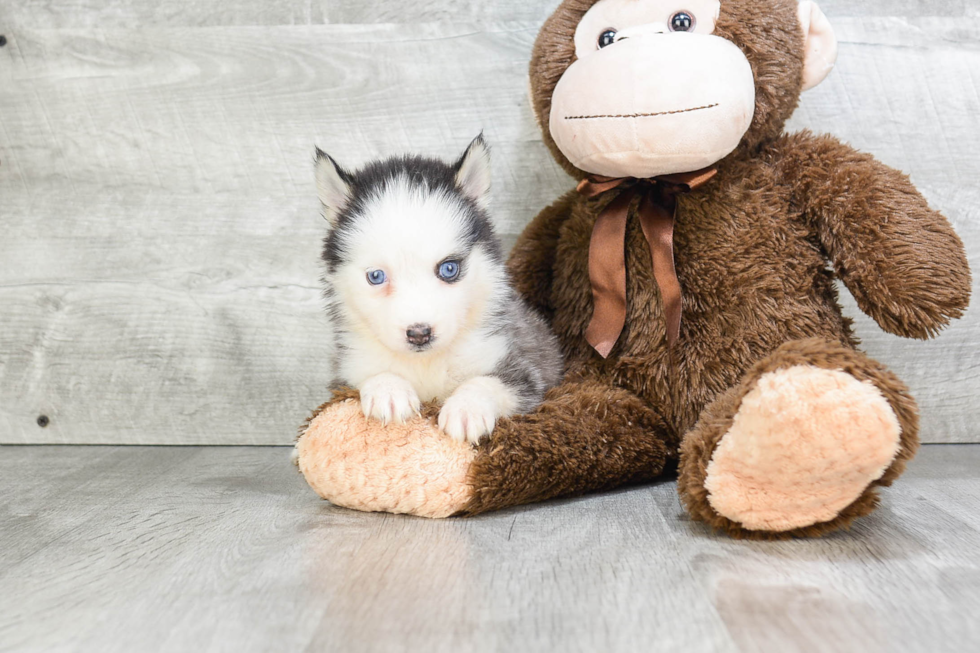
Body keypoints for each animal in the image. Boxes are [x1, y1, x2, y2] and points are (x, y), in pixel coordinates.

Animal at [310, 136, 564, 444]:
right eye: (376, 276)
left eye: (449, 268)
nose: (419, 334)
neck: (426, 363)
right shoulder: (346, 373)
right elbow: (370, 376)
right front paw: (388, 390)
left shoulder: (521, 367)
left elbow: (490, 381)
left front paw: (467, 408)